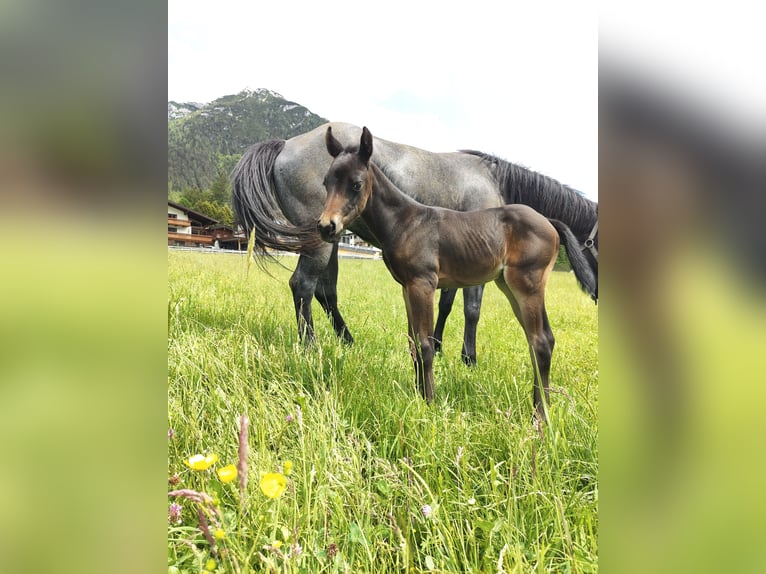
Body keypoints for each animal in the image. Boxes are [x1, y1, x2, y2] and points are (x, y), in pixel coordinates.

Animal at [234, 123, 600, 362]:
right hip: (321, 241)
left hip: (331, 240)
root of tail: (285, 144)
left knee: (326, 292)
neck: (495, 182)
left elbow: (447, 304)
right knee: (303, 285)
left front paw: (437, 345)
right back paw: (310, 346)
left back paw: (348, 340)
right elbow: (472, 309)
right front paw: (469, 358)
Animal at [320, 128, 600, 420]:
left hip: (527, 284)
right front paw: (417, 395)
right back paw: (540, 405)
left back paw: (540, 416)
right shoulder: (407, 287)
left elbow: (426, 344)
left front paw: (429, 403)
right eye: (326, 182)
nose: (326, 227)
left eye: (356, 184)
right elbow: (413, 344)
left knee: (541, 341)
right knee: (542, 340)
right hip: (510, 286)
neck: (406, 222)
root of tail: (550, 223)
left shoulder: (423, 284)